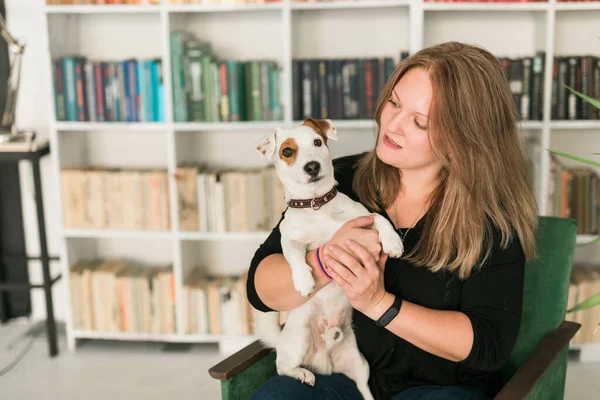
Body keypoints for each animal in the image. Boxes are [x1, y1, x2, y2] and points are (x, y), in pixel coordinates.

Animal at [251, 119, 406, 400]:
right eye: (287, 151)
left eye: (317, 142)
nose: (312, 166)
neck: (316, 205)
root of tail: (324, 360)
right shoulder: (290, 239)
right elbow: (294, 255)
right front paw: (303, 280)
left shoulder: (363, 218)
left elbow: (380, 219)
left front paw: (392, 242)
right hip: (299, 339)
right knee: (283, 367)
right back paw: (303, 374)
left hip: (359, 363)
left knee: (363, 388)